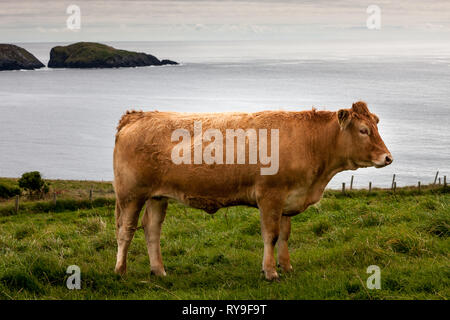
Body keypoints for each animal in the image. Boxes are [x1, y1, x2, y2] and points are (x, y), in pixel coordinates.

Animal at [113, 101, 394, 278]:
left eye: (376, 127)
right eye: (363, 130)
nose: (388, 157)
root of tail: (137, 115)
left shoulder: (288, 200)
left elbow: (285, 235)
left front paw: (286, 267)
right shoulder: (270, 196)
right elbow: (271, 235)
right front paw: (270, 272)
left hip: (157, 196)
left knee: (151, 229)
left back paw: (159, 270)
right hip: (131, 194)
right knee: (126, 230)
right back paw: (120, 271)